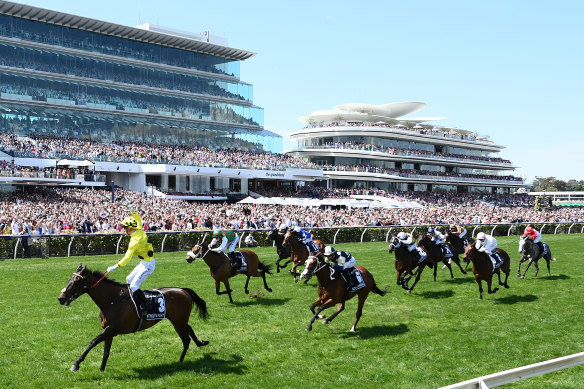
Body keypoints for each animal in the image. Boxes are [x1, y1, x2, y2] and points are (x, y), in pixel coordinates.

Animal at [56, 264, 210, 370]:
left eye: (76, 281)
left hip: (178, 321)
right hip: (179, 320)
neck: (112, 300)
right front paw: (102, 369)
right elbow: (106, 351)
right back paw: (201, 342)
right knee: (189, 329)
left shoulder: (111, 329)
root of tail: (183, 290)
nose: (61, 298)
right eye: (69, 279)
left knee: (186, 339)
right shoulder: (108, 330)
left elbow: (92, 342)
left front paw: (76, 364)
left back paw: (180, 360)